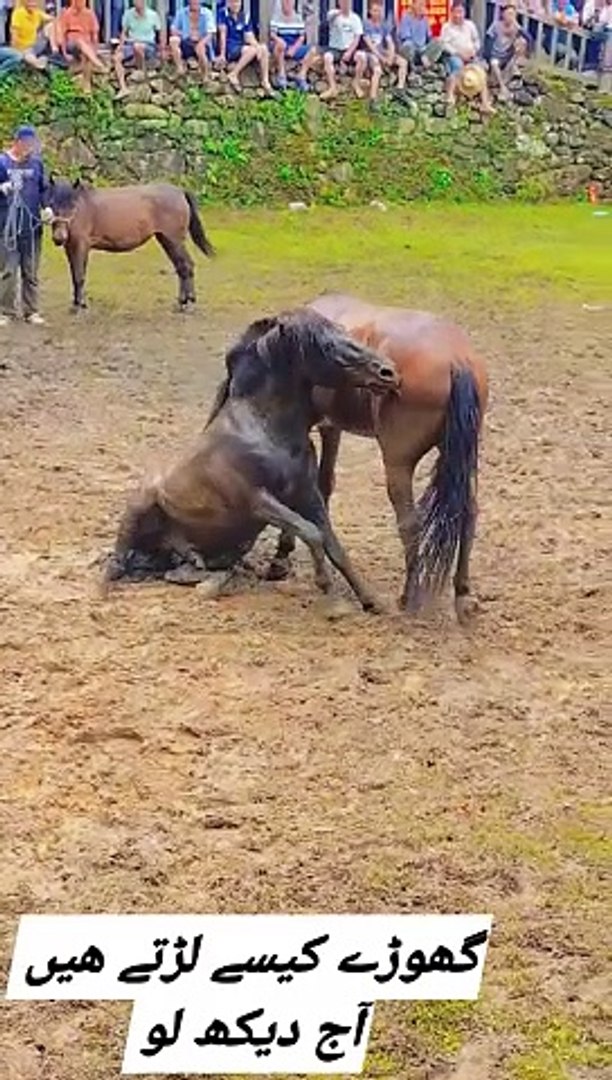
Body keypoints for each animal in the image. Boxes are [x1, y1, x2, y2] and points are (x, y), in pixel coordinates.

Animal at [42, 178, 215, 311]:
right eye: (52, 203)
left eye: (72, 206)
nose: (59, 238)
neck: (83, 208)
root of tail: (180, 192)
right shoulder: (70, 248)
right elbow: (74, 275)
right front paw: (76, 303)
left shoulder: (81, 246)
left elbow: (79, 276)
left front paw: (81, 305)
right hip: (166, 240)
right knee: (181, 267)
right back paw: (182, 302)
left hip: (174, 240)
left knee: (186, 266)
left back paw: (188, 303)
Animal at [103, 307, 400, 613]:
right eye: (326, 346)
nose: (388, 371)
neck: (268, 432)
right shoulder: (255, 501)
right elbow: (311, 532)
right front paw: (327, 590)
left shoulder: (308, 495)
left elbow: (333, 545)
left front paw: (372, 601)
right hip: (138, 507)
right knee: (115, 565)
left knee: (193, 569)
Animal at [205, 293, 489, 623]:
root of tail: (457, 360)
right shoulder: (332, 428)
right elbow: (323, 485)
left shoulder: (319, 427)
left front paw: (281, 559)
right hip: (460, 459)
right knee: (468, 513)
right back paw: (463, 595)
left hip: (398, 462)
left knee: (410, 522)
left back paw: (409, 598)